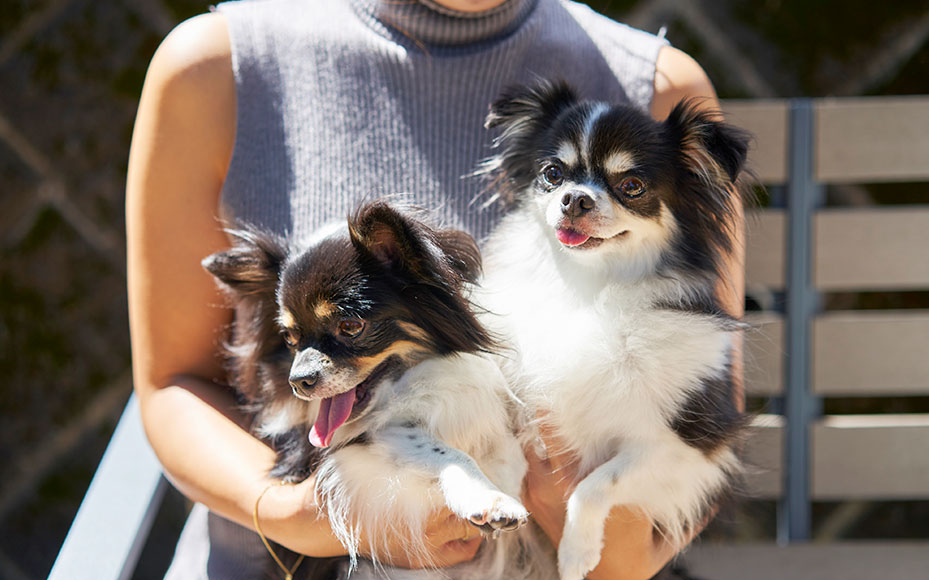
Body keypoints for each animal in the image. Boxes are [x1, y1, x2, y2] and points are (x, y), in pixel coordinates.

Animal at [204, 202, 552, 576]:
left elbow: (508, 453)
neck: (408, 387)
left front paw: (504, 477)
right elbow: (446, 453)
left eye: (350, 326)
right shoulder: (356, 448)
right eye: (290, 338)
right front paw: (489, 498)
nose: (298, 380)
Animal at [474, 82, 752, 580]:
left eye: (632, 186)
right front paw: (494, 497)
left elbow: (595, 483)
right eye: (551, 174)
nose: (575, 199)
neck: (590, 287)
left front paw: (576, 551)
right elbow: (504, 447)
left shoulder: (690, 451)